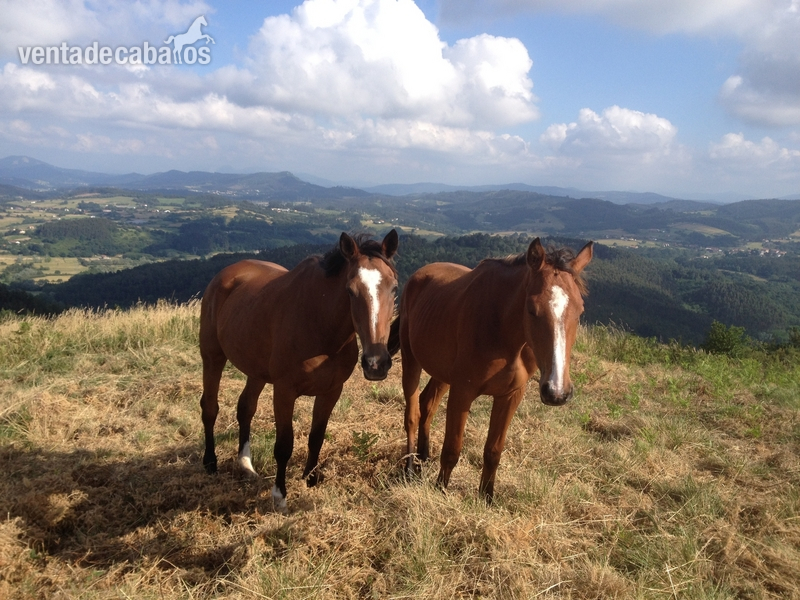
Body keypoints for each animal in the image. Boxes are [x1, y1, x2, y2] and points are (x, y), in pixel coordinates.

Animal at [200, 231, 399, 512]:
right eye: (350, 291)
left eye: (394, 288)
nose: (376, 363)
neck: (320, 325)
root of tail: (227, 274)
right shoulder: (284, 392)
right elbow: (284, 444)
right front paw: (280, 496)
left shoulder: (331, 391)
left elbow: (317, 436)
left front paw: (311, 479)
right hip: (212, 357)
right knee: (210, 407)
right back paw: (210, 462)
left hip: (256, 371)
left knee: (246, 408)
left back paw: (246, 464)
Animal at [394, 237, 593, 502]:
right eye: (532, 309)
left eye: (580, 310)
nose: (557, 392)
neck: (503, 332)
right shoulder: (462, 393)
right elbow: (452, 449)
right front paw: (441, 489)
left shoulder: (510, 396)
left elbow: (493, 451)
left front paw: (486, 497)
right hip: (411, 361)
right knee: (412, 414)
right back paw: (409, 467)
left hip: (443, 374)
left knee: (428, 403)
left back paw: (423, 457)